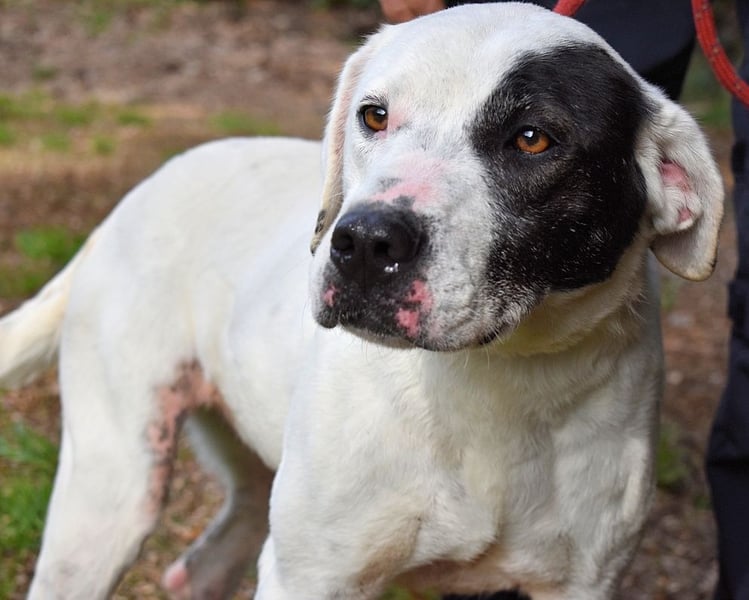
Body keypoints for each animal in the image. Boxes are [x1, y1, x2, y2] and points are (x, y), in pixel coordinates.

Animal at [0, 3, 724, 599]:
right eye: (374, 114)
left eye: (532, 138)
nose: (367, 242)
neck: (495, 383)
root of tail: (125, 204)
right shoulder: (312, 576)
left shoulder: (579, 583)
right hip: (110, 494)